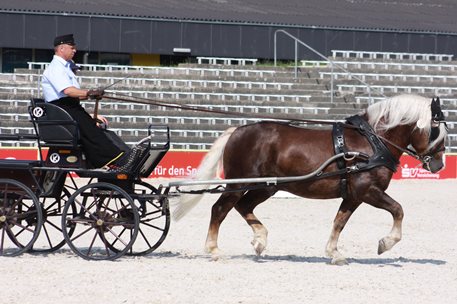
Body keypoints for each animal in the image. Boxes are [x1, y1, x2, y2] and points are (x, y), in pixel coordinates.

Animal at [173, 94, 448, 264]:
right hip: (239, 183)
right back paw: (214, 249)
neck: (372, 142)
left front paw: (334, 253)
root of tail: (237, 130)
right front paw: (386, 243)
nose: (439, 164)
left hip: (266, 187)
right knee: (220, 209)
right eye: (437, 129)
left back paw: (260, 240)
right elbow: (398, 210)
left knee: (244, 206)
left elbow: (339, 222)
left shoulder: (353, 195)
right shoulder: (367, 190)